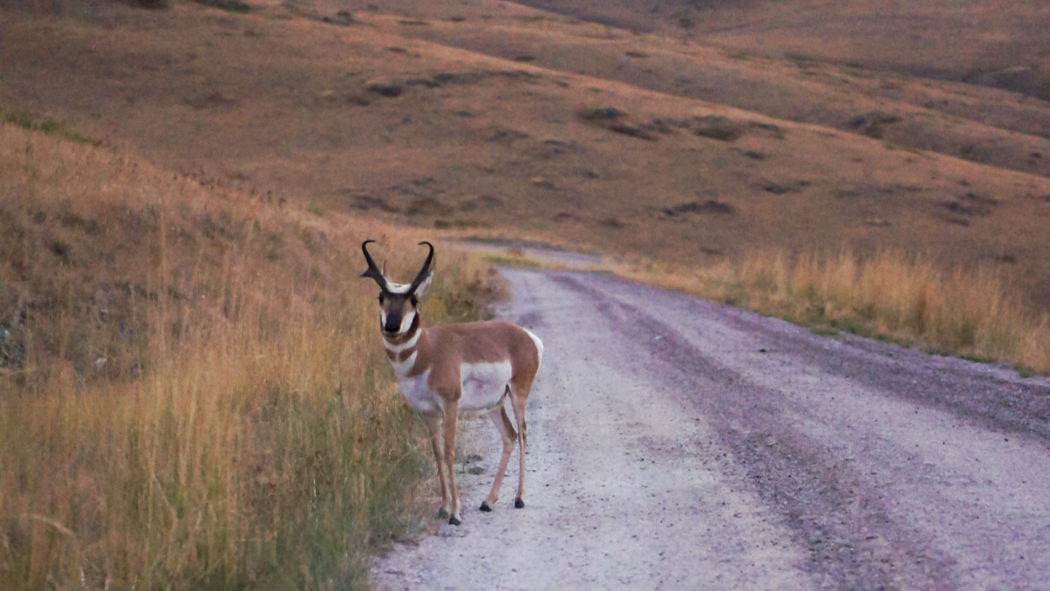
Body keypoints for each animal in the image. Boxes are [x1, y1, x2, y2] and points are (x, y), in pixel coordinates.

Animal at [359, 240, 541, 526]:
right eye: (381, 297)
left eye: (414, 299)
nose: (392, 325)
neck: (427, 350)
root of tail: (528, 337)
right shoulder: (428, 411)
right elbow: (437, 453)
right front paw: (443, 507)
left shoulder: (451, 405)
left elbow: (450, 451)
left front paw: (455, 513)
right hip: (494, 405)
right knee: (510, 436)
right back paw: (488, 502)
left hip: (517, 396)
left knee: (522, 434)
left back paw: (519, 498)